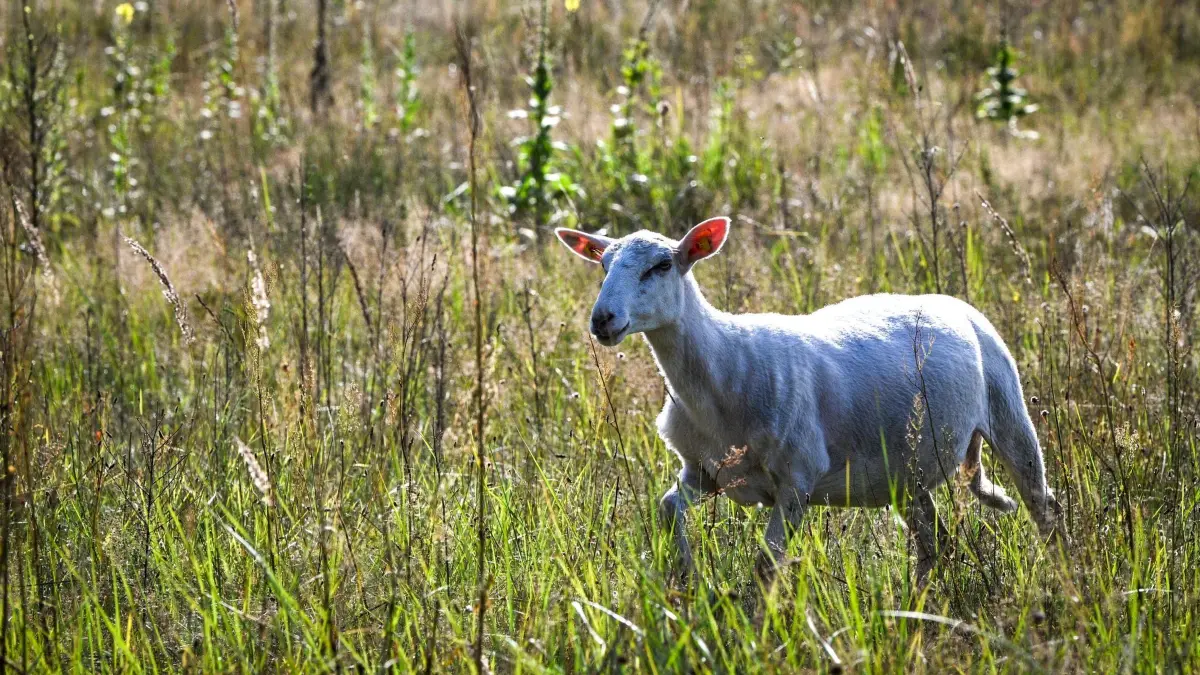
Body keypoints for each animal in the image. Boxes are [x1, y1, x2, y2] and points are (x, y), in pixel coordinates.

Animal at [555, 216, 1062, 585]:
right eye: (603, 266)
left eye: (661, 266)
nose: (603, 319)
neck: (725, 365)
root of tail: (953, 302)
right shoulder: (705, 469)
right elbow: (666, 509)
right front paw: (687, 579)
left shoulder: (796, 478)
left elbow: (765, 566)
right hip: (906, 468)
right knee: (934, 541)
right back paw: (919, 604)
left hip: (1007, 407)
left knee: (1044, 505)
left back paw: (1060, 579)